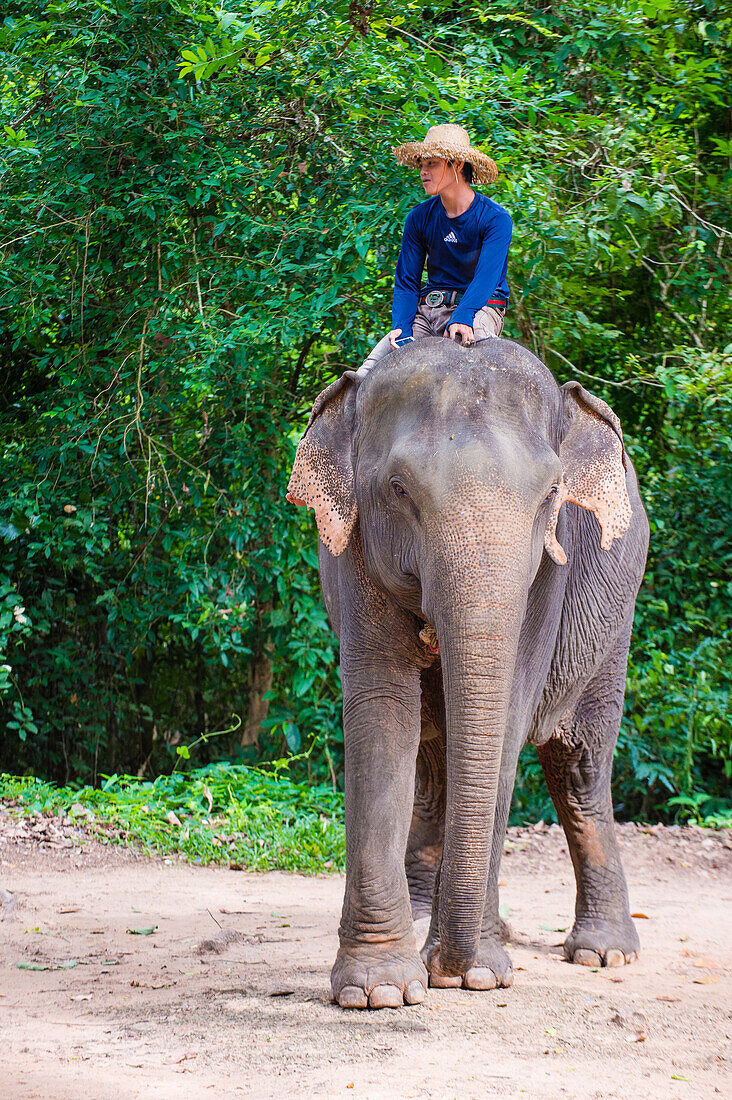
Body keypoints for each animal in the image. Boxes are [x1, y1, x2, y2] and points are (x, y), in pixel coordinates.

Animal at [286, 338, 647, 1007]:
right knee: (435, 760)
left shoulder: (547, 572)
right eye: (398, 488)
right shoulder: (355, 549)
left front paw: (475, 973)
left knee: (579, 767)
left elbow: (507, 718)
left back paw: (602, 952)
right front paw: (381, 990)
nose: (449, 969)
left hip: (616, 621)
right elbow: (383, 710)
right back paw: (434, 918)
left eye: (551, 494)